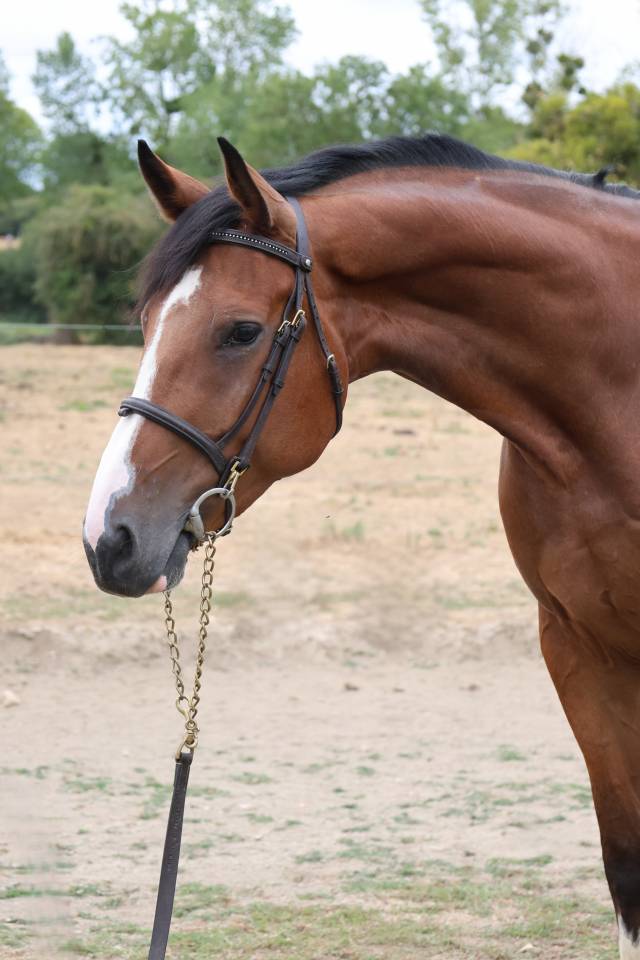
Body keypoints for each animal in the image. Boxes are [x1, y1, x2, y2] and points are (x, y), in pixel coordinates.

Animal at [83, 132, 640, 958]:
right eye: (145, 321)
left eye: (241, 331)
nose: (108, 537)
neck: (617, 396)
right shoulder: (579, 648)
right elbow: (626, 866)